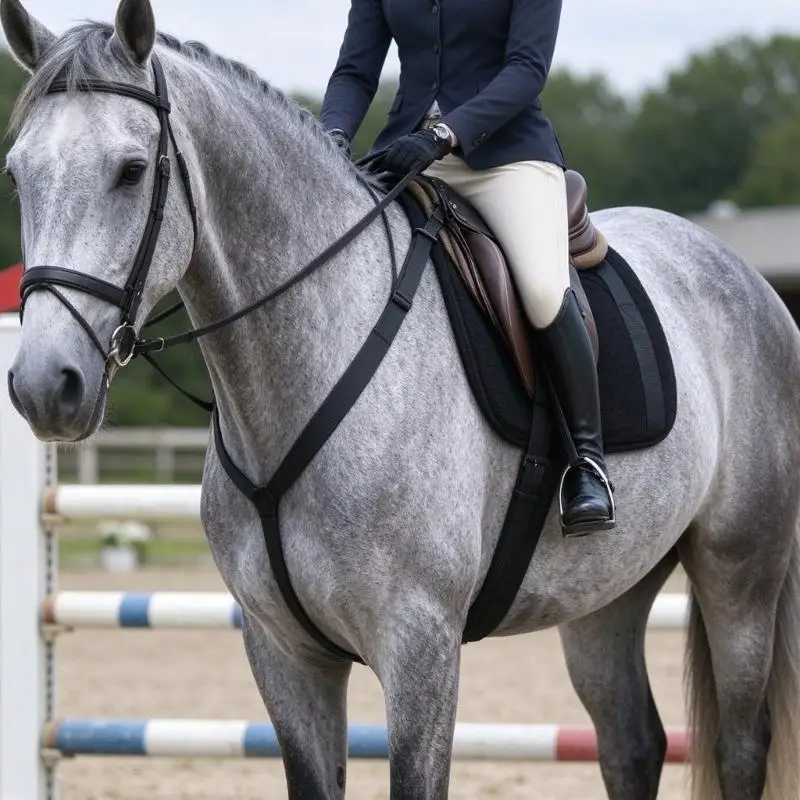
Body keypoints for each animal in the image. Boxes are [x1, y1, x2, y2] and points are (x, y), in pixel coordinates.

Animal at [3, 1, 800, 798]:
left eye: (132, 171)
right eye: (17, 174)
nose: (45, 385)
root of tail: (747, 277)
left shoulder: (419, 644)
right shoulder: (283, 652)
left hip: (740, 572)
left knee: (739, 744)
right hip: (606, 591)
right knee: (631, 744)